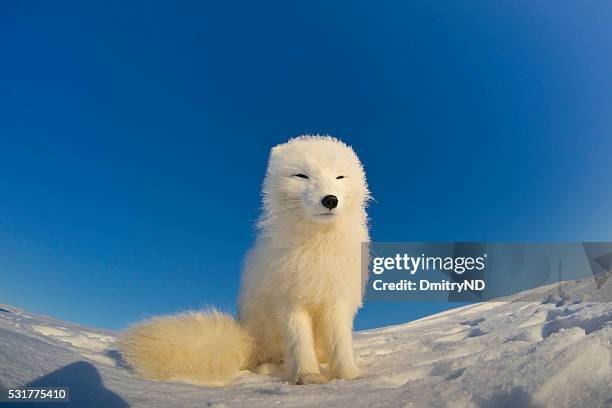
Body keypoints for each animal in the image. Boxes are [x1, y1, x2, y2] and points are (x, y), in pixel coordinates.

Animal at [117, 136, 370, 386]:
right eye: (302, 176)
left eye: (340, 177)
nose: (330, 200)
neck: (317, 244)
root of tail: (249, 339)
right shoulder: (289, 300)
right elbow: (299, 343)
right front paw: (309, 377)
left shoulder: (337, 298)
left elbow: (340, 343)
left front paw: (350, 376)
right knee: (269, 360)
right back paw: (273, 369)